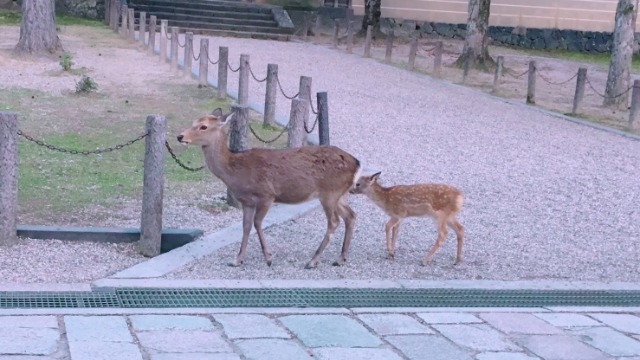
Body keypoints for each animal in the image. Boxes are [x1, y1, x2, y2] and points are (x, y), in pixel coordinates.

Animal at [178, 108, 362, 268]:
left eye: (203, 126)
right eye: (194, 122)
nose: (180, 136)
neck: (236, 172)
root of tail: (357, 163)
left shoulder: (267, 194)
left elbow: (257, 223)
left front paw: (268, 258)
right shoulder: (247, 201)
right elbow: (246, 226)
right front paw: (237, 260)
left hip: (329, 192)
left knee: (334, 221)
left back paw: (313, 261)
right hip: (338, 193)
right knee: (351, 215)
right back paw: (340, 258)